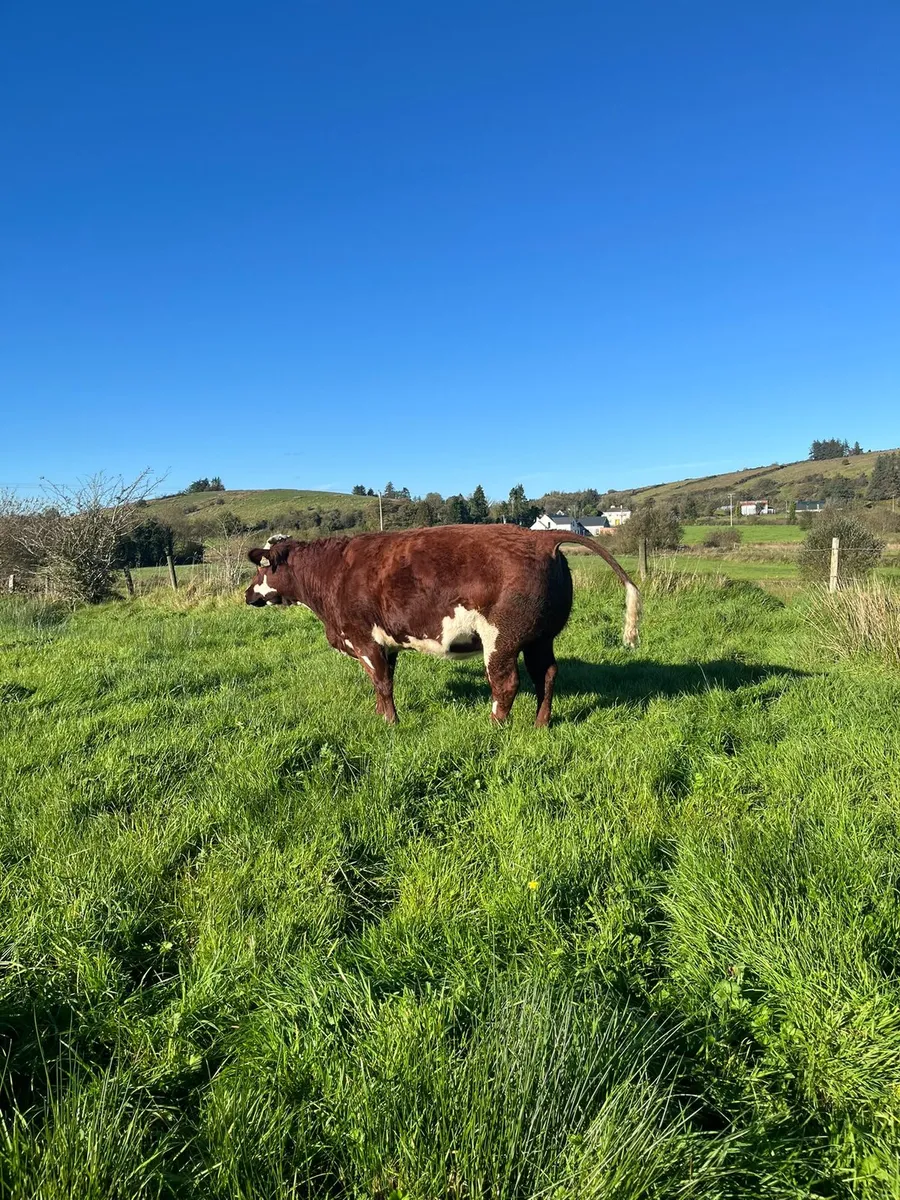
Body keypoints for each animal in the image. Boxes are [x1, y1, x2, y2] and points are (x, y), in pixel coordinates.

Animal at [245, 525, 641, 726]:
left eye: (262, 567)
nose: (247, 594)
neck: (333, 572)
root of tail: (539, 536)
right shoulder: (386, 644)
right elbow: (381, 684)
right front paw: (379, 715)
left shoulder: (365, 640)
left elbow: (382, 683)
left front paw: (390, 723)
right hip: (540, 637)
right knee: (546, 674)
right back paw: (540, 723)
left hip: (501, 638)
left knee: (506, 683)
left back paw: (495, 726)